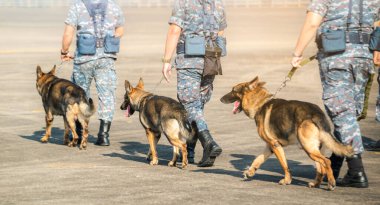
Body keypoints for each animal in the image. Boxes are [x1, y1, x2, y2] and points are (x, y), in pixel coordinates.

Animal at [220, 77, 354, 191]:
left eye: (233, 90)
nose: (220, 99)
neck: (260, 104)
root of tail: (316, 113)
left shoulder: (275, 145)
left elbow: (284, 164)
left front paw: (286, 180)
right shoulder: (270, 146)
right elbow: (258, 159)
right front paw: (250, 172)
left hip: (308, 147)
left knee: (326, 162)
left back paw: (331, 183)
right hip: (314, 148)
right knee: (321, 168)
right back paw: (316, 184)